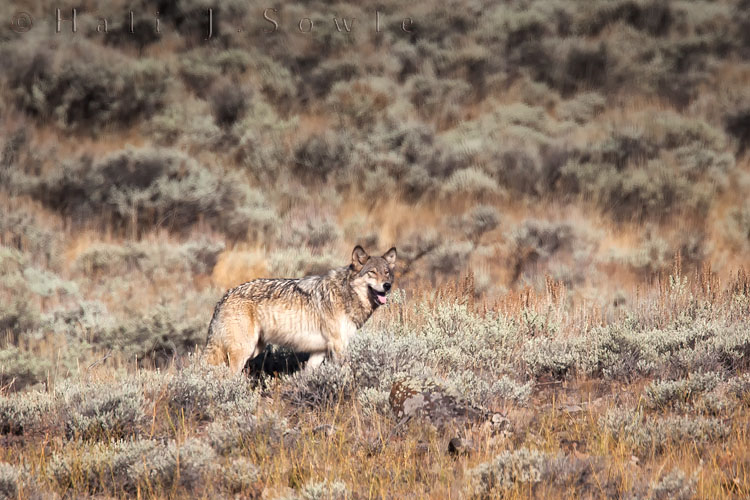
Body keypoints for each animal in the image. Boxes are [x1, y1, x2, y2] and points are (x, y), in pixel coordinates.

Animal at [204, 246, 397, 374]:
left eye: (386, 272)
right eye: (372, 272)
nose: (387, 286)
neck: (345, 293)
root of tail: (224, 297)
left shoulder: (319, 351)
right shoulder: (339, 345)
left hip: (253, 349)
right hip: (243, 351)